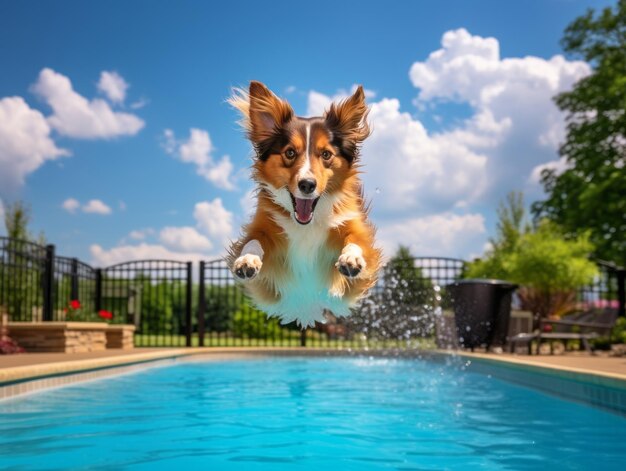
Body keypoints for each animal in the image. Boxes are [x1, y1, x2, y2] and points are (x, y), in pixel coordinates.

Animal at [225, 81, 380, 328]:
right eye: (290, 152)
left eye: (326, 154)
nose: (307, 184)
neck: (307, 223)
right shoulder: (264, 225)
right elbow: (253, 241)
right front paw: (247, 260)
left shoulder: (354, 227)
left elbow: (355, 241)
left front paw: (351, 258)